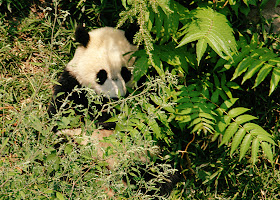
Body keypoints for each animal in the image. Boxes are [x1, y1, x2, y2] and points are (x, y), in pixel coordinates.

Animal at [47, 25, 179, 198]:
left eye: (126, 73)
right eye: (101, 75)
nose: (116, 96)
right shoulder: (72, 83)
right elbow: (65, 114)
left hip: (143, 155)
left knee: (160, 171)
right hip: (80, 146)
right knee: (68, 154)